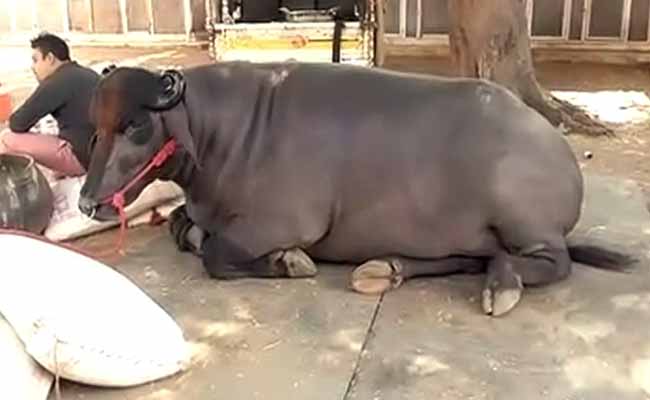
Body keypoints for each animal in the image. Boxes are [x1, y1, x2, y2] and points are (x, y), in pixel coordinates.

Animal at [78, 61, 636, 317]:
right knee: (468, 256)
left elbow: (216, 253)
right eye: (96, 124)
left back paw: (503, 286)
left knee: (551, 261)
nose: (87, 200)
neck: (223, 136)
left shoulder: (283, 223)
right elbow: (182, 227)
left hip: (525, 221)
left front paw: (289, 262)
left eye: (135, 125)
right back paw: (384, 269)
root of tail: (555, 147)